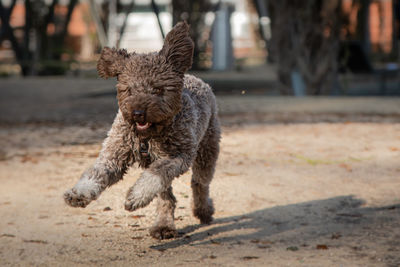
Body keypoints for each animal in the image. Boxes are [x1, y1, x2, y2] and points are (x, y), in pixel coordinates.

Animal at [63, 22, 220, 241]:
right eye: (129, 89)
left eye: (157, 89)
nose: (138, 113)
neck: (147, 137)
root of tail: (195, 78)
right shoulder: (114, 155)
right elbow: (95, 174)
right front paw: (79, 194)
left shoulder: (178, 156)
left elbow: (156, 175)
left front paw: (135, 197)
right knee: (166, 197)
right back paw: (164, 225)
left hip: (206, 151)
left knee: (200, 184)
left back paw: (203, 211)